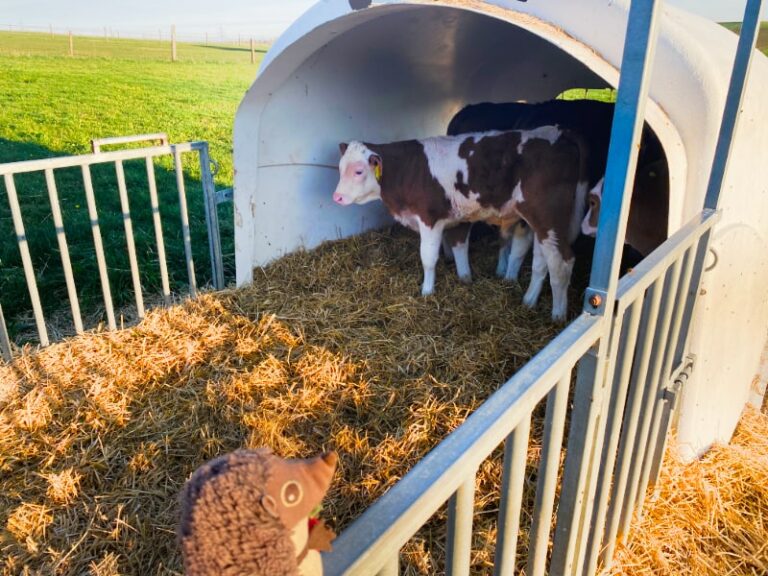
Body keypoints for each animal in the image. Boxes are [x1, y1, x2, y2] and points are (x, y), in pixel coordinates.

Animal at [332, 127, 592, 322]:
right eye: (339, 168)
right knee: (541, 259)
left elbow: (428, 257)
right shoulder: (456, 216)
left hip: (547, 214)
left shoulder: (429, 218)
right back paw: (528, 300)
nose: (337, 197)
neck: (408, 170)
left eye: (358, 171)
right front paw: (465, 277)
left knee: (562, 262)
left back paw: (557, 315)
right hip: (542, 223)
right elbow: (458, 246)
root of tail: (559, 131)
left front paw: (427, 292)